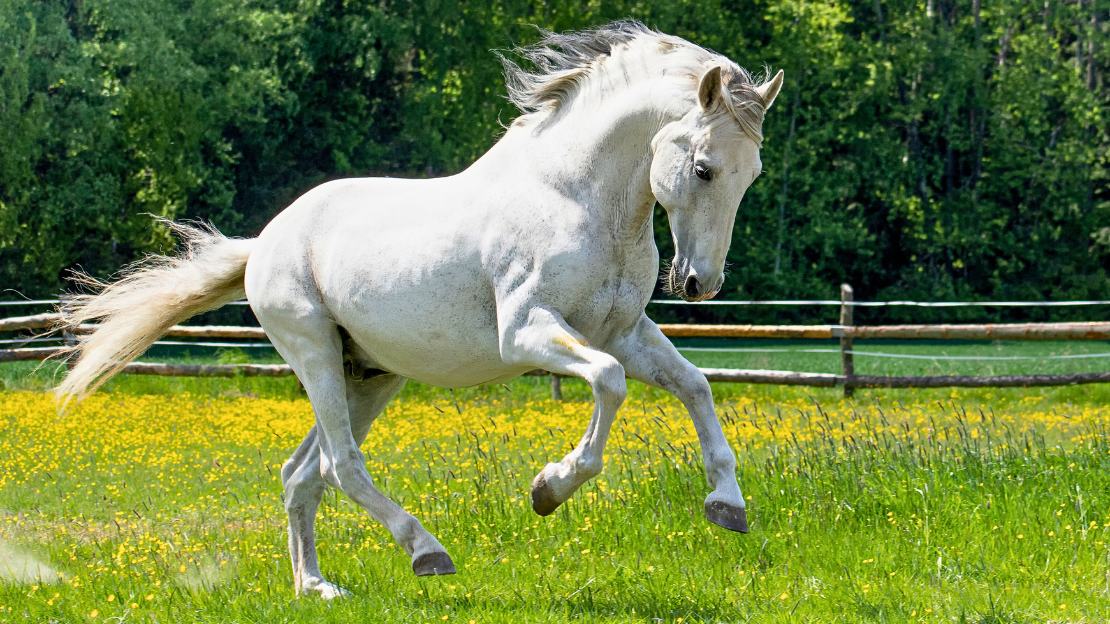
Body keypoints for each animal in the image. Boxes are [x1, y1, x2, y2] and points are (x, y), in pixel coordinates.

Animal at [56, 21, 784, 598]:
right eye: (704, 168)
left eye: (751, 175)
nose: (700, 283)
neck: (576, 200)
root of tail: (266, 239)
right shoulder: (531, 335)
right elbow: (607, 384)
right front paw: (548, 489)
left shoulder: (625, 333)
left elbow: (695, 385)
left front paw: (728, 506)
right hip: (315, 356)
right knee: (341, 466)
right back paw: (426, 551)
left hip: (370, 375)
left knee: (303, 474)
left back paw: (316, 587)